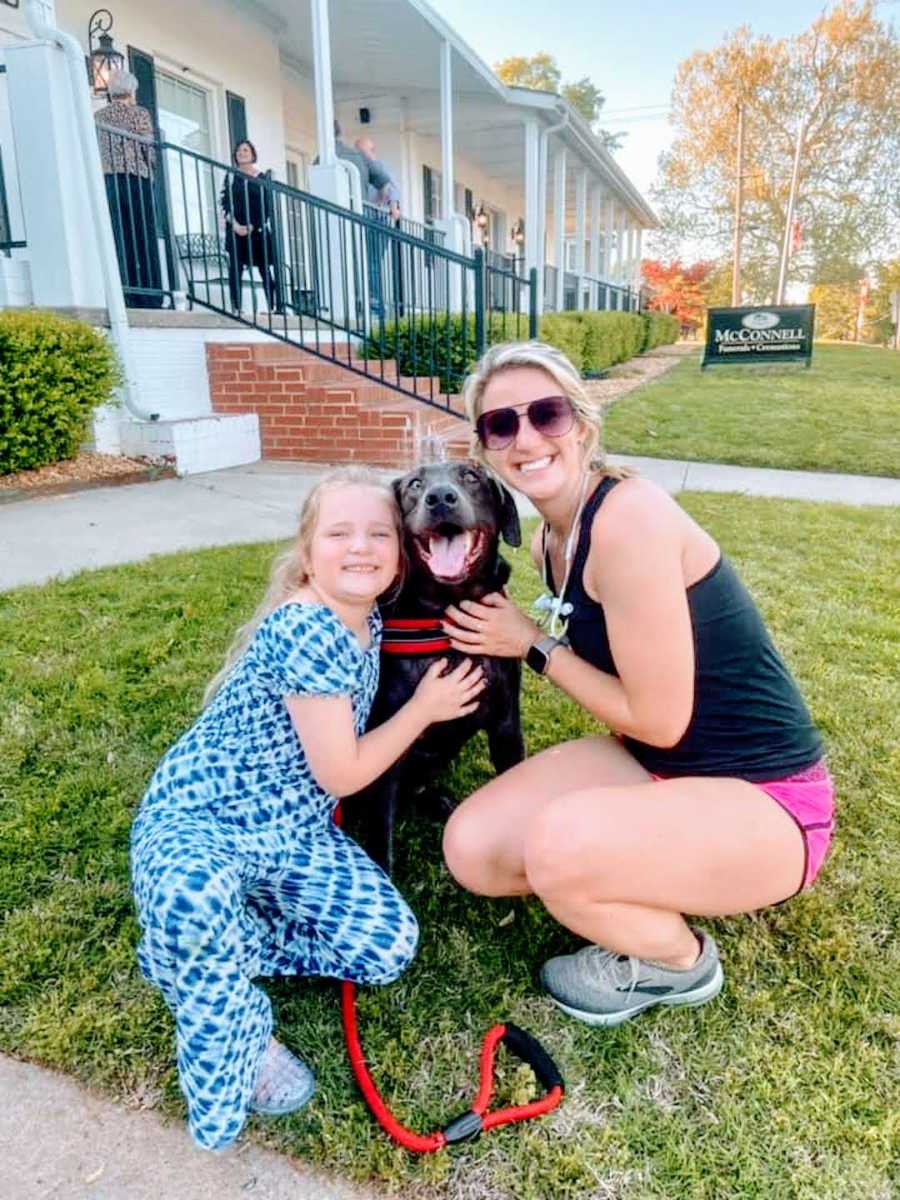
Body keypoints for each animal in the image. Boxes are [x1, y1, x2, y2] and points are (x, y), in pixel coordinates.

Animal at [348, 460, 525, 873]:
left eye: (471, 477)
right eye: (415, 484)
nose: (441, 497)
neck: (448, 613)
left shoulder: (507, 725)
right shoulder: (387, 743)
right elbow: (380, 839)